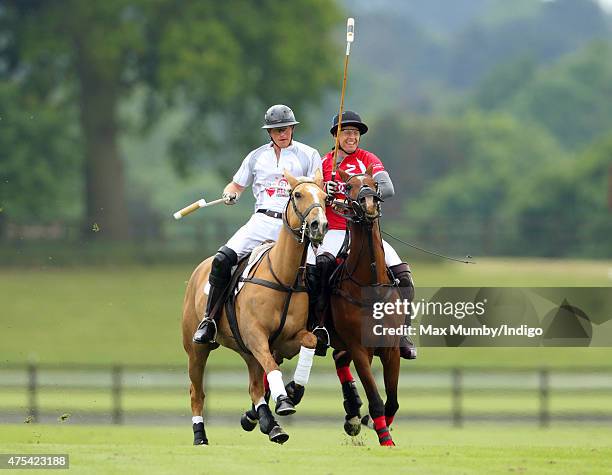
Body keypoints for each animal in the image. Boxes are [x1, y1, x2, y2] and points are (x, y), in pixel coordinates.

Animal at [180, 171, 328, 446]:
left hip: (246, 351)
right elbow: (272, 368)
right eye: (297, 194)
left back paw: (271, 425)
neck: (284, 278)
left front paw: (292, 391)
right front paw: (284, 402)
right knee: (197, 391)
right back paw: (200, 435)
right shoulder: (256, 336)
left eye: (325, 196)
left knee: (255, 387)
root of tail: (200, 268)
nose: (319, 225)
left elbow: (309, 342)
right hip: (196, 348)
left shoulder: (285, 342)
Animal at [330, 165, 402, 448]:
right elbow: (376, 400)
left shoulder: (391, 348)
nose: (369, 202)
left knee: (339, 359)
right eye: (348, 186)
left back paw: (352, 413)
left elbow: (392, 401)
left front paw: (376, 425)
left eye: (374, 183)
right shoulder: (360, 349)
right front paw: (386, 439)